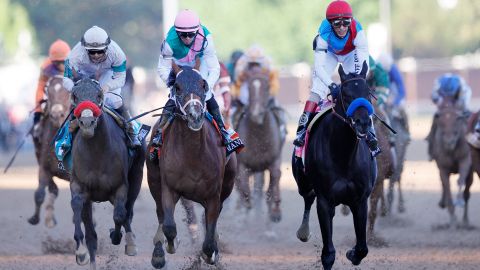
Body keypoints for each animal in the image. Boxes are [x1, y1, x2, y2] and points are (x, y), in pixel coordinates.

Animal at [30, 74, 71, 228]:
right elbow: (40, 193)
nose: (57, 114)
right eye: (48, 91)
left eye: (68, 92)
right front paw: (36, 218)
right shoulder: (44, 167)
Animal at [69, 78, 144, 270]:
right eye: (75, 96)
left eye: (99, 95)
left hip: (137, 177)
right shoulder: (79, 186)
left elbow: (119, 215)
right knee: (92, 234)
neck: (97, 152)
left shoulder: (120, 186)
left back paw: (130, 241)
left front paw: (120, 239)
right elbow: (76, 207)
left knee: (127, 211)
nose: (87, 122)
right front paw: (81, 253)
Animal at [146, 65, 236, 268]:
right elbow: (169, 226)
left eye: (203, 84)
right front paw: (170, 245)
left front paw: (210, 254)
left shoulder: (213, 195)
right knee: (160, 214)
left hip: (227, 185)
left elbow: (209, 239)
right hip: (153, 180)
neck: (193, 154)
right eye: (177, 87)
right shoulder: (169, 188)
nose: (195, 116)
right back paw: (158, 253)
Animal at [232, 65, 284, 221]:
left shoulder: (274, 160)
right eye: (249, 87)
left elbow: (274, 180)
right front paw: (247, 212)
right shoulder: (243, 165)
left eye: (267, 87)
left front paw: (275, 212)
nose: (256, 114)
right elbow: (245, 192)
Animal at [290, 61, 376, 270]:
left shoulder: (360, 200)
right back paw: (303, 231)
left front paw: (352, 253)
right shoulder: (325, 201)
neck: (343, 154)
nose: (363, 123)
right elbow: (328, 254)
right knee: (307, 198)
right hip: (303, 183)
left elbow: (363, 247)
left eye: (368, 93)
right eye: (345, 94)